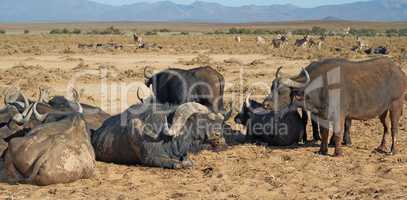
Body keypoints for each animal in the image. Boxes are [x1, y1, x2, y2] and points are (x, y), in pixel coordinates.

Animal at [264, 57, 407, 156]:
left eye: (281, 91)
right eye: (271, 87)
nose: (266, 104)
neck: (322, 86)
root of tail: (400, 72)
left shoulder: (340, 115)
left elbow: (338, 132)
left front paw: (338, 153)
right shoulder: (322, 114)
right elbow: (324, 132)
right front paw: (322, 150)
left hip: (396, 104)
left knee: (394, 128)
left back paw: (392, 150)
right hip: (382, 111)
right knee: (386, 127)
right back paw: (381, 146)